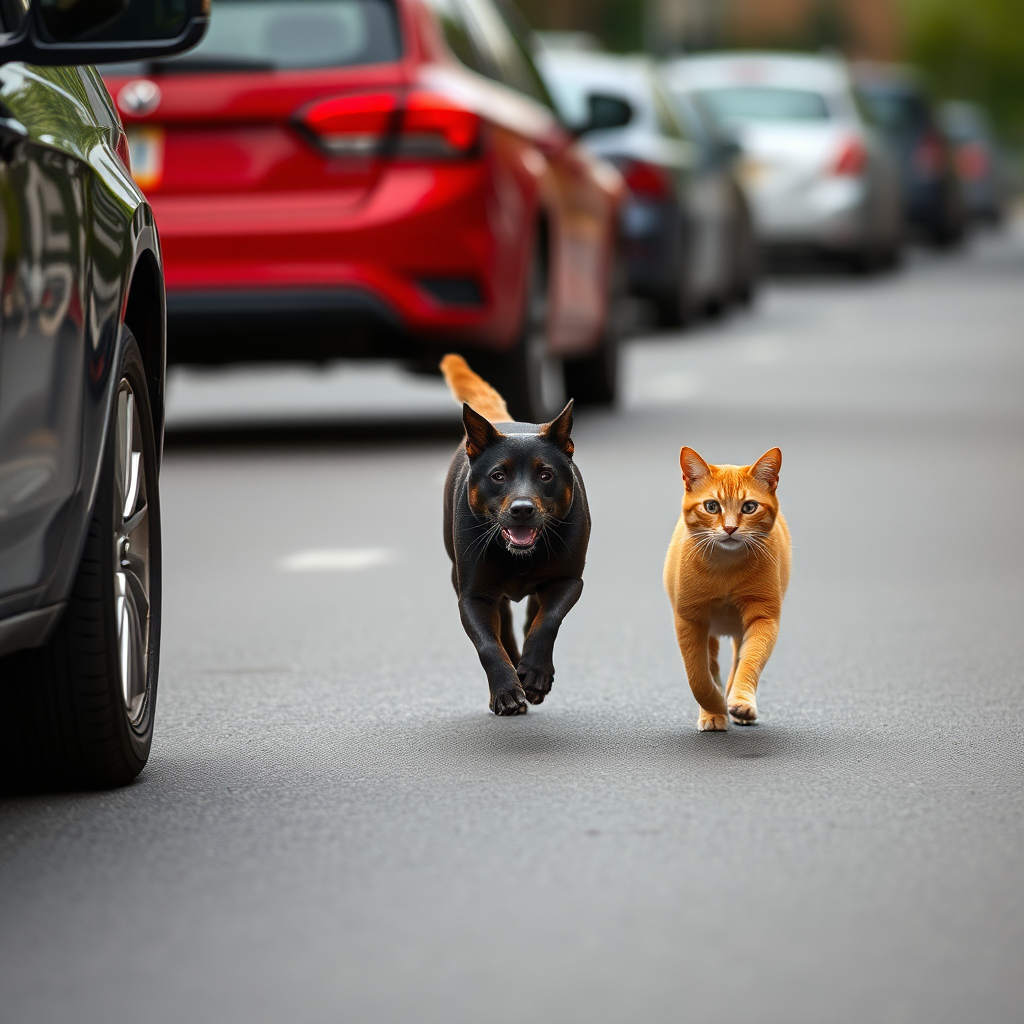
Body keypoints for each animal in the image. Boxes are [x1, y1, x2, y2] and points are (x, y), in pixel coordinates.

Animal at [663, 446, 790, 729]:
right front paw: (713, 708)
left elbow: (749, 661)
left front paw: (740, 702)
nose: (730, 527)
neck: (726, 569)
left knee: (735, 662)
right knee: (711, 665)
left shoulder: (764, 617)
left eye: (749, 506)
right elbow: (698, 677)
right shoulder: (689, 620)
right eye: (712, 506)